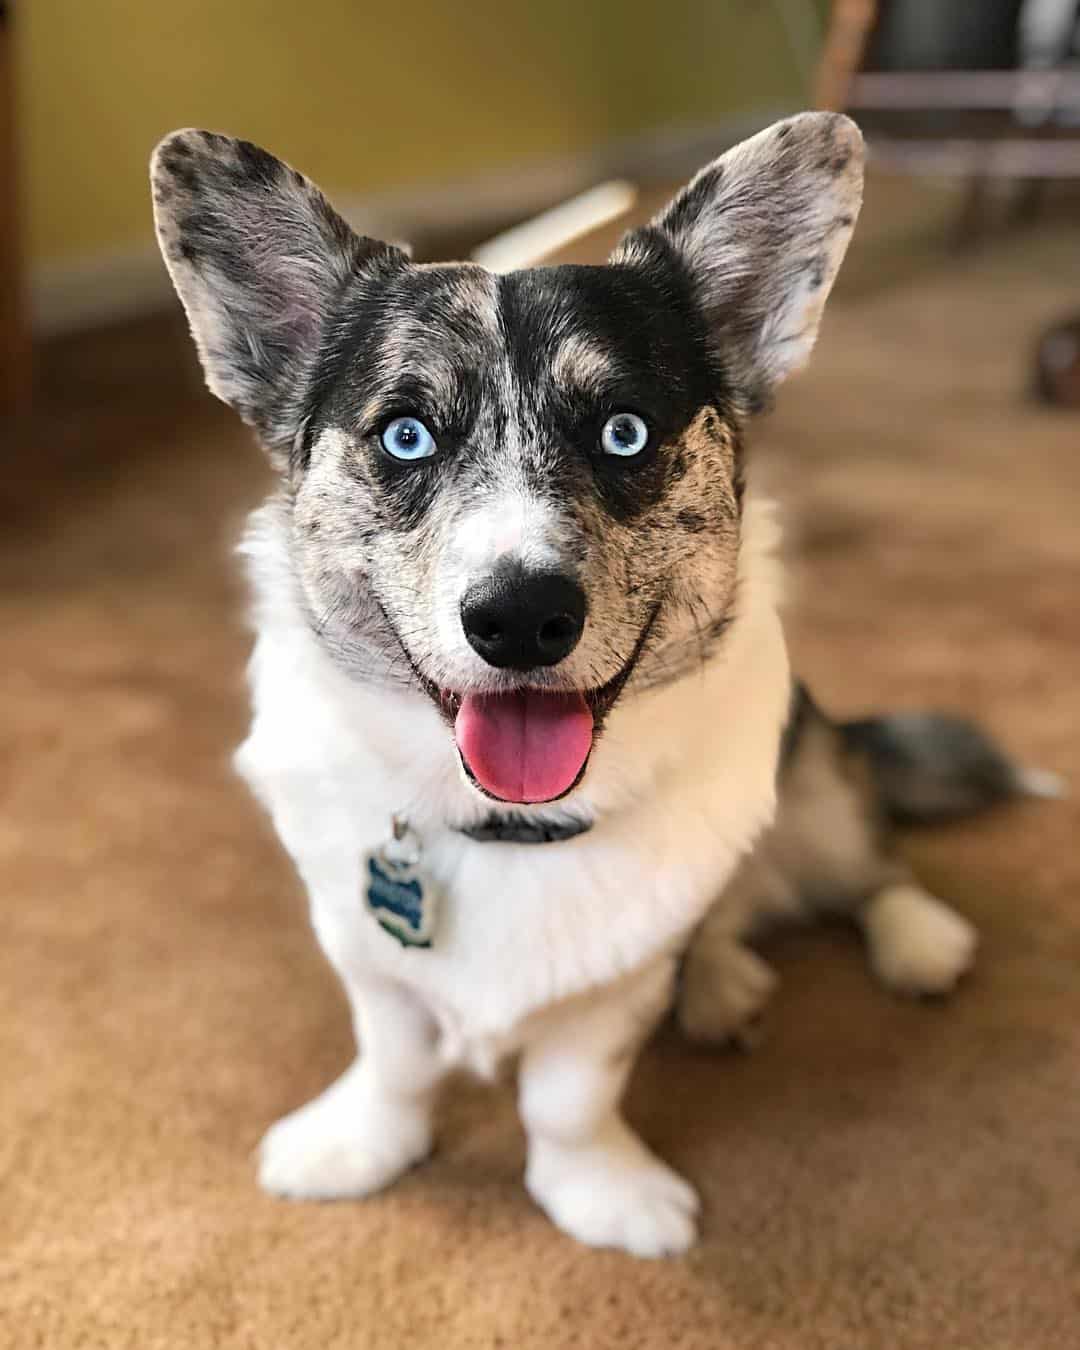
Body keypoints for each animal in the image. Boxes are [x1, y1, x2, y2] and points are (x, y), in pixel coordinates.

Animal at [147, 113, 1053, 1252]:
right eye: (407, 434)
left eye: (625, 430)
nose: (520, 619)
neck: (511, 828)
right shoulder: (368, 959)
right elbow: (395, 1062)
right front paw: (358, 1149)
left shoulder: (619, 991)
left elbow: (571, 1097)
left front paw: (607, 1197)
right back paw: (724, 986)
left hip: (811, 781)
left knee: (859, 867)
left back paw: (913, 942)